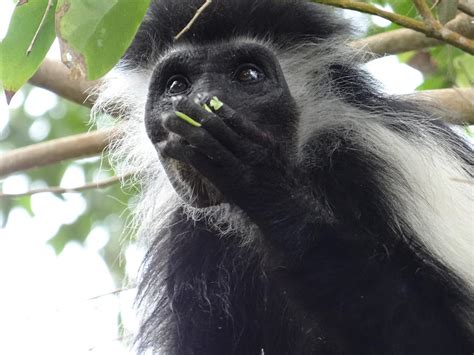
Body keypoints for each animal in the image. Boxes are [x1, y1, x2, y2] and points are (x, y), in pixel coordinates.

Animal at [94, 0, 472, 354]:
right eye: (177, 85)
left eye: (248, 75)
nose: (202, 100)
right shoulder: (187, 235)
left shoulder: (382, 159)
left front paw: (256, 179)